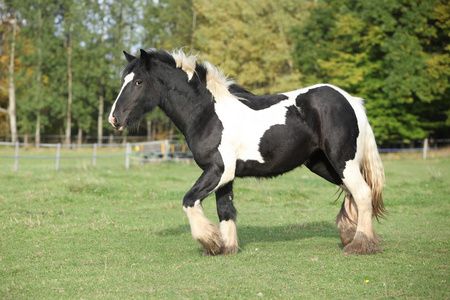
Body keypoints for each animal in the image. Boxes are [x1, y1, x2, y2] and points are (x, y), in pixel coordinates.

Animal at [109, 49, 386, 255]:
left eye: (138, 82)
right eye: (124, 80)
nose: (114, 119)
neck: (207, 114)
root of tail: (351, 101)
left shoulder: (219, 170)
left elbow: (189, 200)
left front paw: (209, 241)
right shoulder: (225, 176)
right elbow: (225, 210)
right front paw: (226, 247)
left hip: (342, 161)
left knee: (362, 193)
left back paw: (360, 244)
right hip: (322, 164)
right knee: (351, 192)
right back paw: (350, 236)